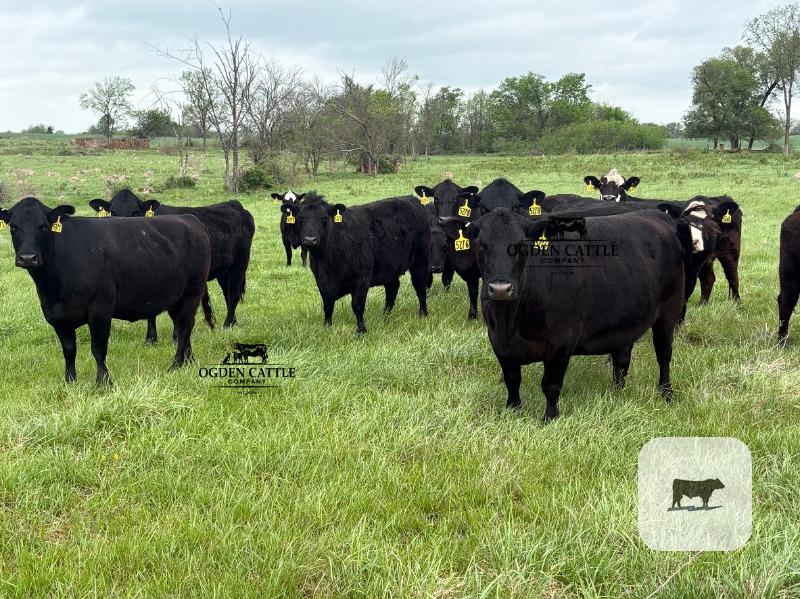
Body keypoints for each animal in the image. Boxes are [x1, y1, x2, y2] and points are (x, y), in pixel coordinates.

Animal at [0, 197, 212, 385]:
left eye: (43, 226)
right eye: (13, 227)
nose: (28, 258)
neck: (54, 287)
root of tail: (190, 219)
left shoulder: (100, 309)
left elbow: (98, 348)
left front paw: (103, 382)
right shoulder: (56, 316)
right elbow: (69, 350)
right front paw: (70, 382)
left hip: (192, 292)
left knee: (185, 326)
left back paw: (176, 364)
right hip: (176, 297)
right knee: (182, 325)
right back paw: (188, 360)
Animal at [89, 189, 254, 343]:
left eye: (135, 212)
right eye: (112, 212)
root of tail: (234, 203)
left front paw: (176, 337)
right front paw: (151, 339)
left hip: (240, 261)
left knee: (233, 294)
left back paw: (227, 325)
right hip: (224, 270)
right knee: (228, 293)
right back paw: (233, 322)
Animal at [296, 192, 430, 334]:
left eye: (324, 219)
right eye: (300, 218)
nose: (310, 239)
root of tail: (412, 198)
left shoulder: (361, 279)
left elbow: (357, 306)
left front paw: (361, 330)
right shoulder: (322, 282)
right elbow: (327, 306)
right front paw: (327, 327)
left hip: (420, 259)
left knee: (420, 287)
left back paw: (423, 314)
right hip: (389, 266)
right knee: (393, 288)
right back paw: (385, 317)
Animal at [451, 208, 696, 421]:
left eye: (522, 245)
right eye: (481, 244)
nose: (501, 288)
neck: (510, 321)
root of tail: (656, 215)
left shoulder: (561, 342)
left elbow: (550, 384)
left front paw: (550, 418)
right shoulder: (498, 342)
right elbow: (512, 380)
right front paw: (513, 411)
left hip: (669, 312)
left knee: (663, 355)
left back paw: (666, 393)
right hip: (626, 320)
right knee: (621, 361)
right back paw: (616, 394)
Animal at [582, 172, 743, 303]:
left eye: (622, 186)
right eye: (601, 185)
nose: (609, 198)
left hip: (731, 249)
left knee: (732, 276)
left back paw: (736, 303)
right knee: (708, 278)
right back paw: (702, 304)